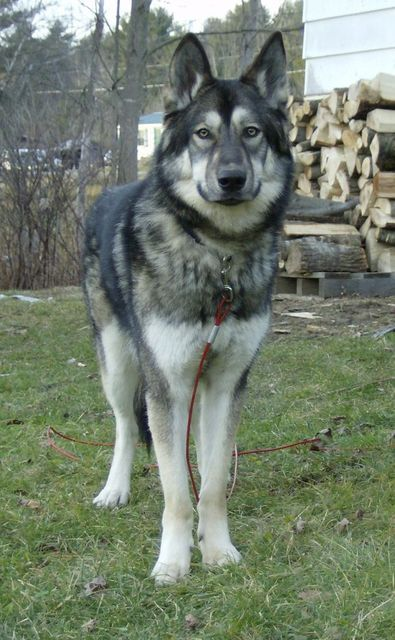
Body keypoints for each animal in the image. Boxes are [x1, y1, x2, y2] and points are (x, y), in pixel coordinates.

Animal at [83, 31, 294, 584]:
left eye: (251, 132)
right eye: (203, 134)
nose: (231, 179)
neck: (216, 252)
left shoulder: (227, 383)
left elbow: (214, 480)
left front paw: (216, 548)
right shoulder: (167, 384)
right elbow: (176, 491)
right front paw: (174, 562)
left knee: (195, 449)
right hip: (120, 363)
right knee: (125, 425)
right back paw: (115, 489)